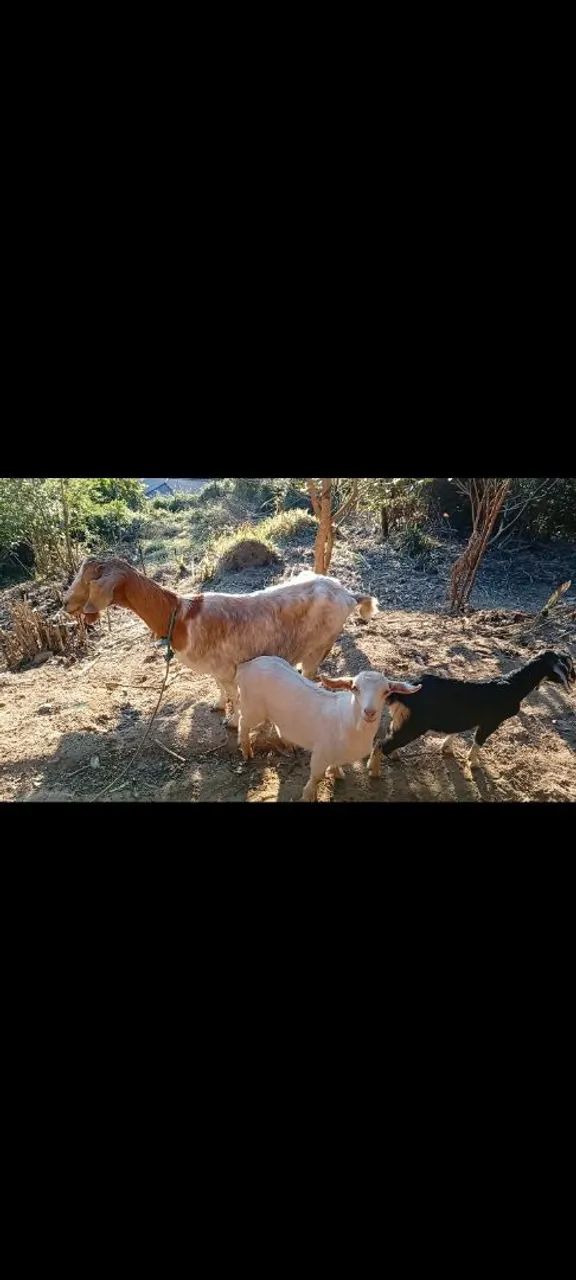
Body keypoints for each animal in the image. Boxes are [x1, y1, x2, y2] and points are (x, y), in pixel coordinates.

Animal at [63, 558, 379, 726]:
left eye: (89, 581)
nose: (65, 603)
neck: (180, 615)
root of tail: (348, 595)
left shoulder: (228, 668)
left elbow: (235, 695)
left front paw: (232, 721)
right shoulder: (216, 667)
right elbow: (219, 689)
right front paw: (217, 706)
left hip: (318, 645)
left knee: (312, 676)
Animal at [236, 656, 421, 800]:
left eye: (386, 691)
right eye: (355, 688)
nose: (369, 712)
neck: (350, 722)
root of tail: (246, 666)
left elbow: (334, 764)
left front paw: (336, 773)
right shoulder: (321, 752)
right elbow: (316, 776)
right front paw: (308, 795)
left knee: (276, 722)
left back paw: (288, 743)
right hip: (253, 708)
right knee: (243, 722)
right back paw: (246, 750)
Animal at [366, 650, 575, 776]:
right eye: (566, 666)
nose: (572, 680)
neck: (513, 686)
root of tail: (406, 690)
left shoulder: (463, 718)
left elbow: (456, 731)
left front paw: (446, 748)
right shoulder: (491, 722)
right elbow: (478, 741)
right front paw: (473, 764)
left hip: (404, 720)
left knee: (388, 738)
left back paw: (393, 756)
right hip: (415, 725)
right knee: (381, 744)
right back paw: (374, 772)